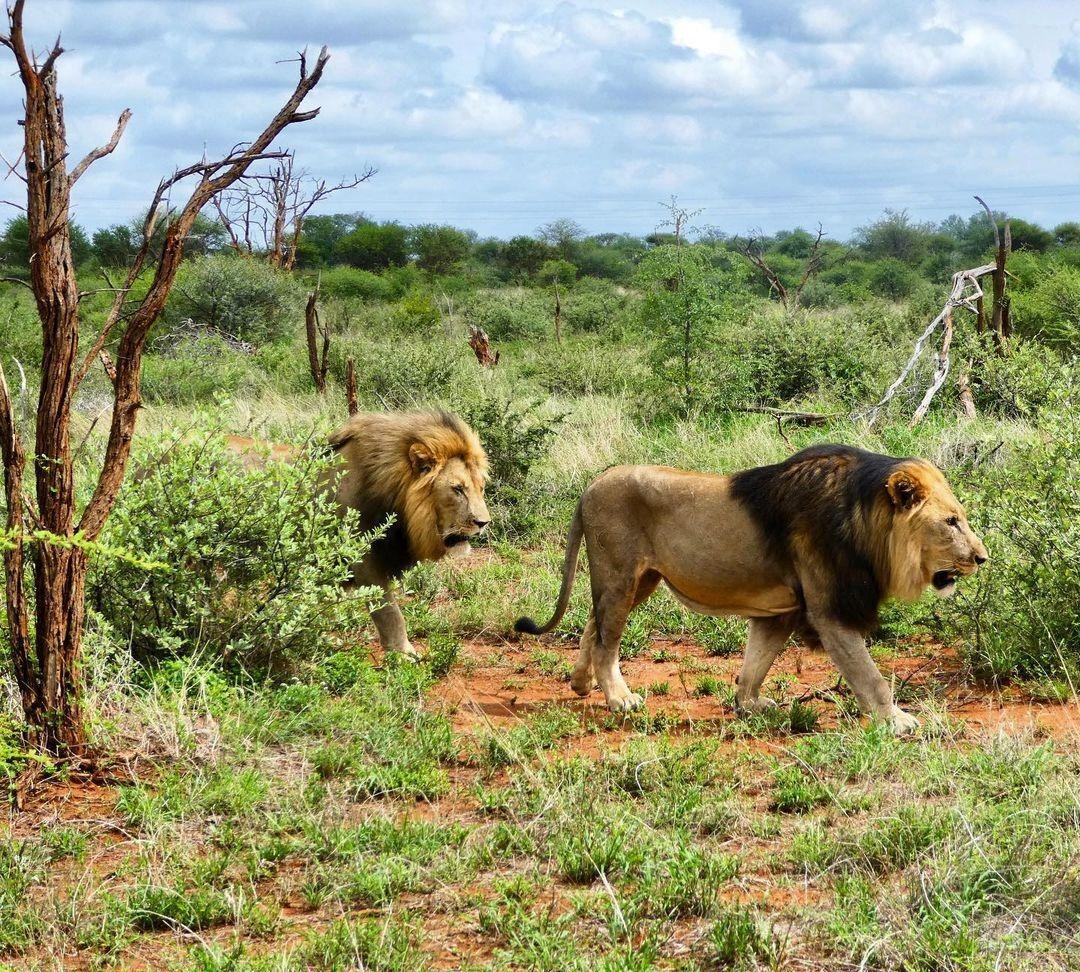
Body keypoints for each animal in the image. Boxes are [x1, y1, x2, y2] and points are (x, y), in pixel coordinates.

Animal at [514, 444, 989, 734]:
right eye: (951, 522)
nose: (982, 557)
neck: (865, 521)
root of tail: (591, 485)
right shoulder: (829, 610)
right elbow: (870, 677)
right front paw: (898, 721)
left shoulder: (783, 610)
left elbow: (757, 660)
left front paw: (749, 704)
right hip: (619, 574)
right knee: (606, 640)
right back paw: (618, 698)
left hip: (641, 580)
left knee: (592, 625)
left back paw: (581, 684)